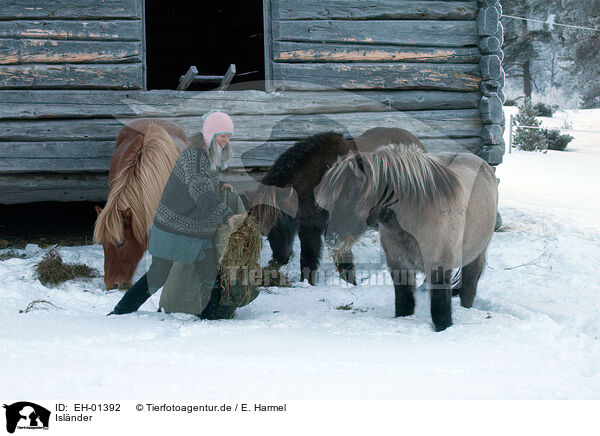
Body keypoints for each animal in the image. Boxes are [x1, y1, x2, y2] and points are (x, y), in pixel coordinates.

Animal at [316, 143, 500, 330]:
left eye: (349, 195)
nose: (330, 238)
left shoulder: (438, 266)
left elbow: (440, 308)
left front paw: (444, 328)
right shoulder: (399, 265)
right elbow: (404, 303)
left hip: (475, 256)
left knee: (469, 286)